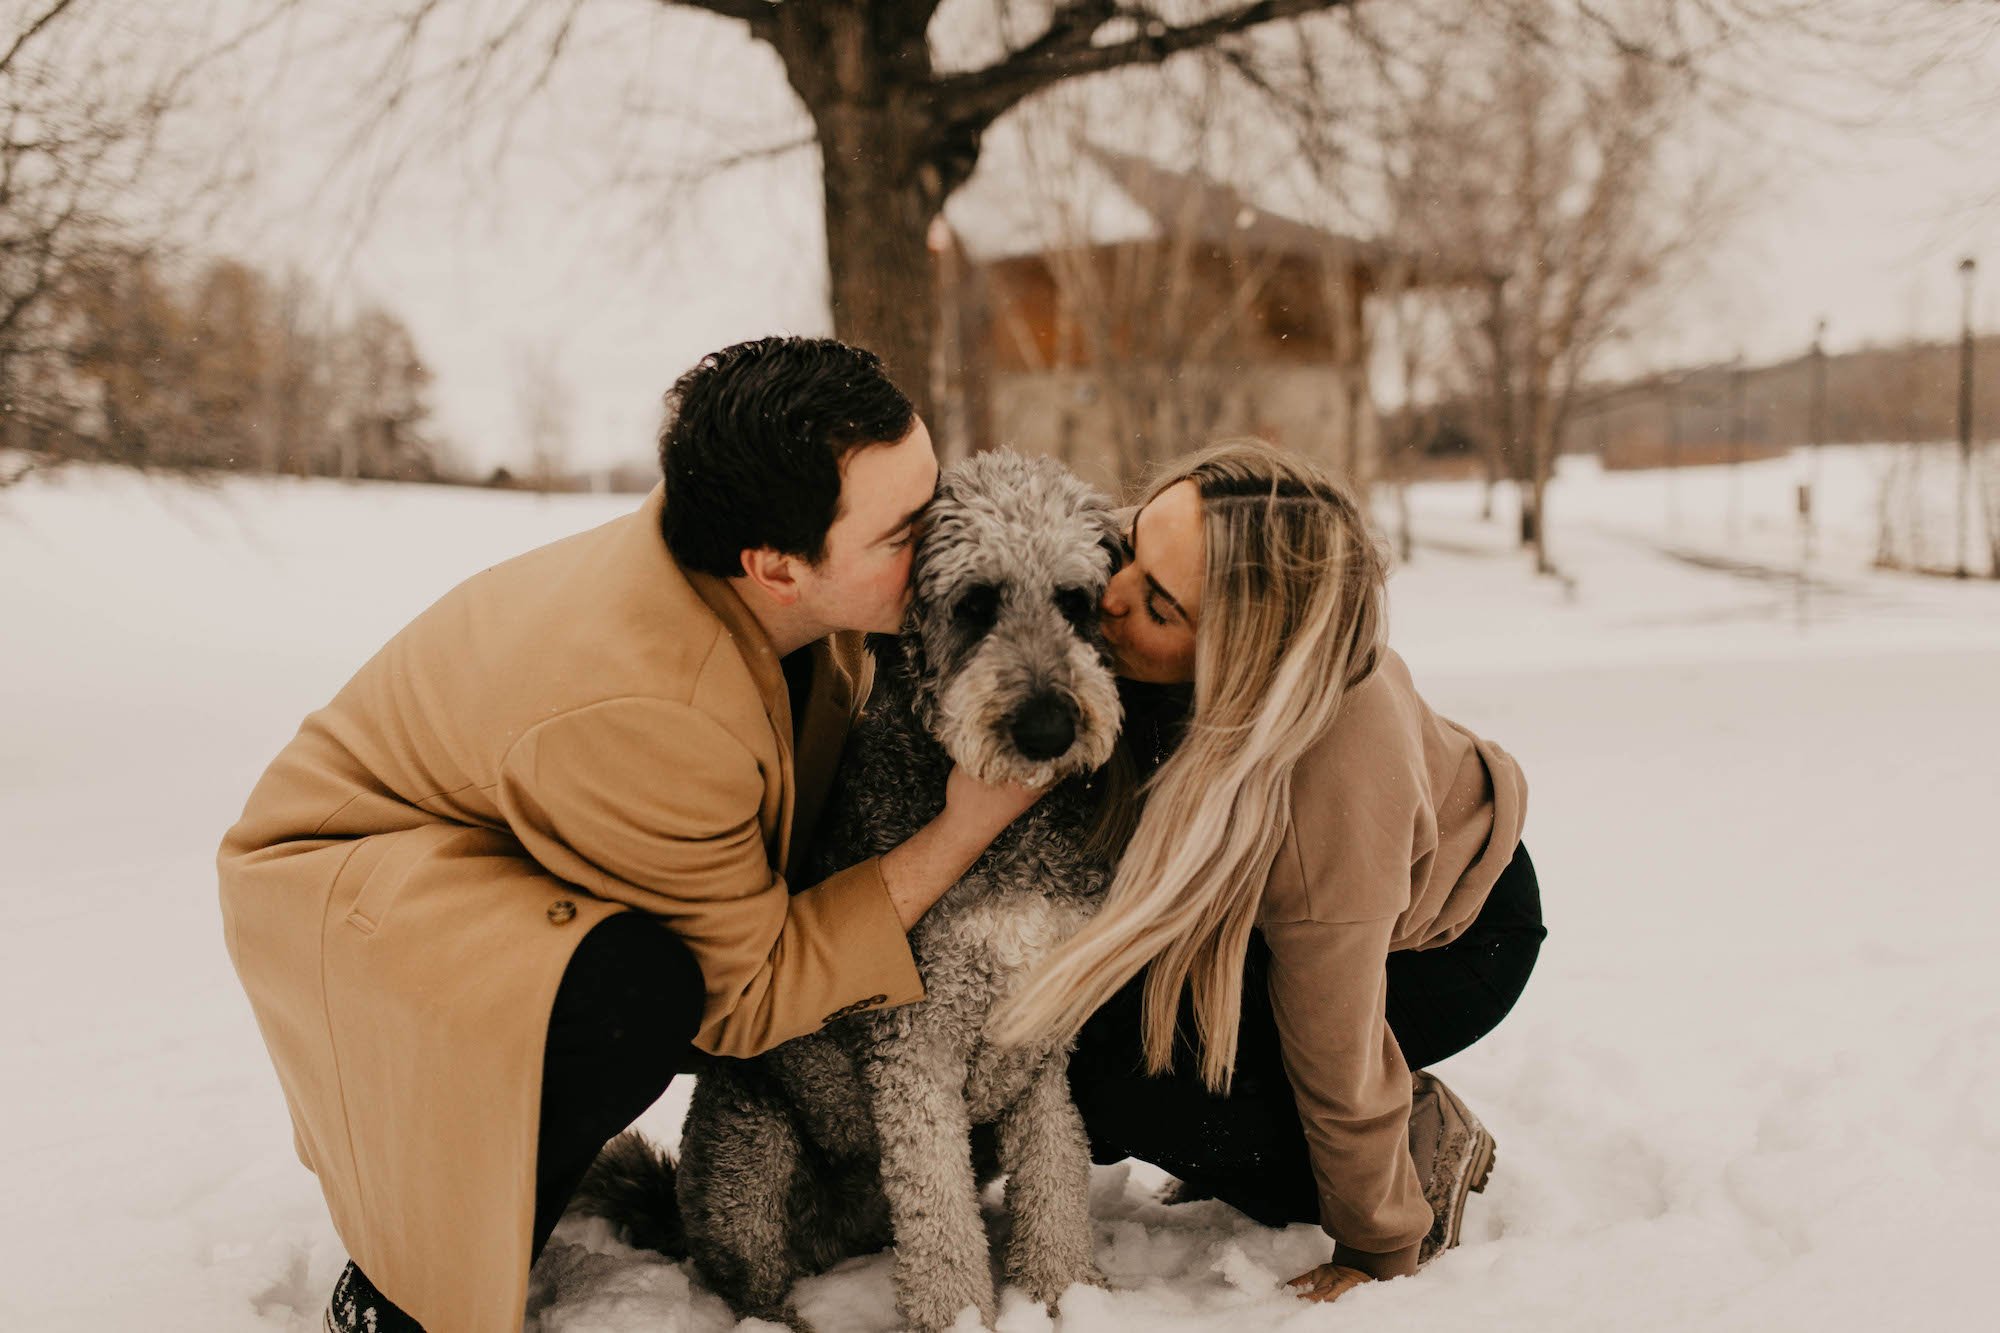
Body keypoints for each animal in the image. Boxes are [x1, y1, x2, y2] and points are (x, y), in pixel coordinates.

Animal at [576, 448, 1128, 1328]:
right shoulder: (916, 1044)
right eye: (974, 603)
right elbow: (938, 1215)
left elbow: (1056, 1173)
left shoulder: (1043, 1028)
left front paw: (1065, 1293)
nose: (1049, 728)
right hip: (750, 1147)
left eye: (1077, 601)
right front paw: (958, 1314)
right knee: (744, 1278)